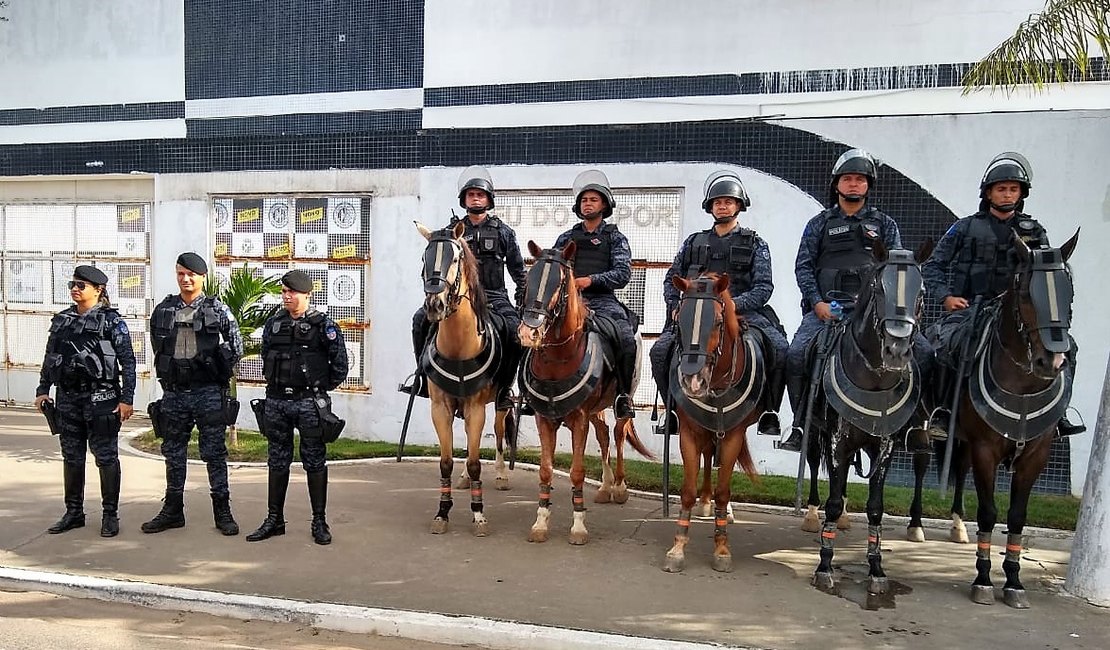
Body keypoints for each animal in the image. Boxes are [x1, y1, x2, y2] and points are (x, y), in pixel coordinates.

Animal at [417, 219, 515, 534]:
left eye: (455, 259)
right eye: (424, 259)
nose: (435, 305)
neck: (459, 348)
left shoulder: (475, 407)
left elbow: (475, 462)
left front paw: (479, 515)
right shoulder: (441, 408)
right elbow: (446, 461)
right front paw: (442, 512)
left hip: (500, 403)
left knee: (498, 433)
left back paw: (501, 475)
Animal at [517, 237, 648, 541]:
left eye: (560, 283)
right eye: (529, 280)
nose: (530, 332)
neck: (558, 359)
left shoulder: (578, 419)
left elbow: (577, 471)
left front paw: (578, 525)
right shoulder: (544, 419)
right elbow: (545, 470)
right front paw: (541, 522)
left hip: (622, 401)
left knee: (618, 434)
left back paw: (619, 487)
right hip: (595, 410)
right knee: (603, 435)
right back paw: (605, 487)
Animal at [657, 272, 763, 572]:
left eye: (717, 321)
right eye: (679, 319)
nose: (693, 381)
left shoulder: (733, 435)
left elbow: (724, 491)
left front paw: (722, 548)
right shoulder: (689, 432)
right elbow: (688, 490)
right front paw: (677, 548)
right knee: (707, 456)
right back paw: (705, 501)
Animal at [803, 240, 932, 594]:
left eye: (922, 291)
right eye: (878, 287)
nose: (896, 350)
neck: (874, 380)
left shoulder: (884, 446)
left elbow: (876, 508)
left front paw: (877, 569)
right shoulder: (837, 443)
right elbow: (833, 500)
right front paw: (824, 566)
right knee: (814, 464)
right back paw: (813, 515)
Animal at [954, 230, 1074, 603]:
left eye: (1069, 291)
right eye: (1026, 293)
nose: (1051, 361)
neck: (1023, 386)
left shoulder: (1036, 455)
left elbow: (1017, 516)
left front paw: (1014, 580)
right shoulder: (984, 449)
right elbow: (989, 513)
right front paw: (982, 578)